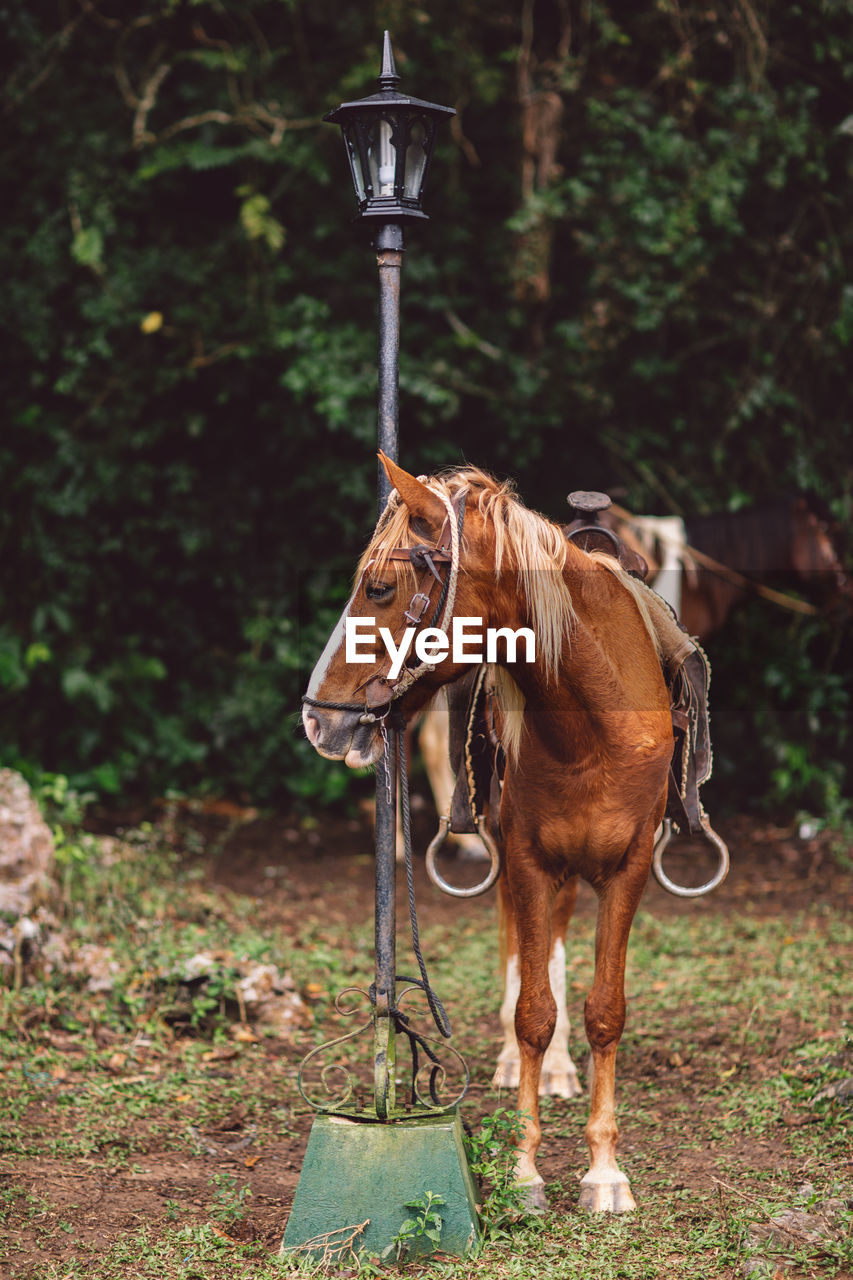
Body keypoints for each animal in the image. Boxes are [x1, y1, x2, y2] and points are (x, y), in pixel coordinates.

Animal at [298, 455, 676, 1213]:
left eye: (379, 586)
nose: (317, 718)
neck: (595, 724)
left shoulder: (625, 869)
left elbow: (604, 1011)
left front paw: (604, 1172)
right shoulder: (528, 860)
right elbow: (533, 1009)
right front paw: (526, 1170)